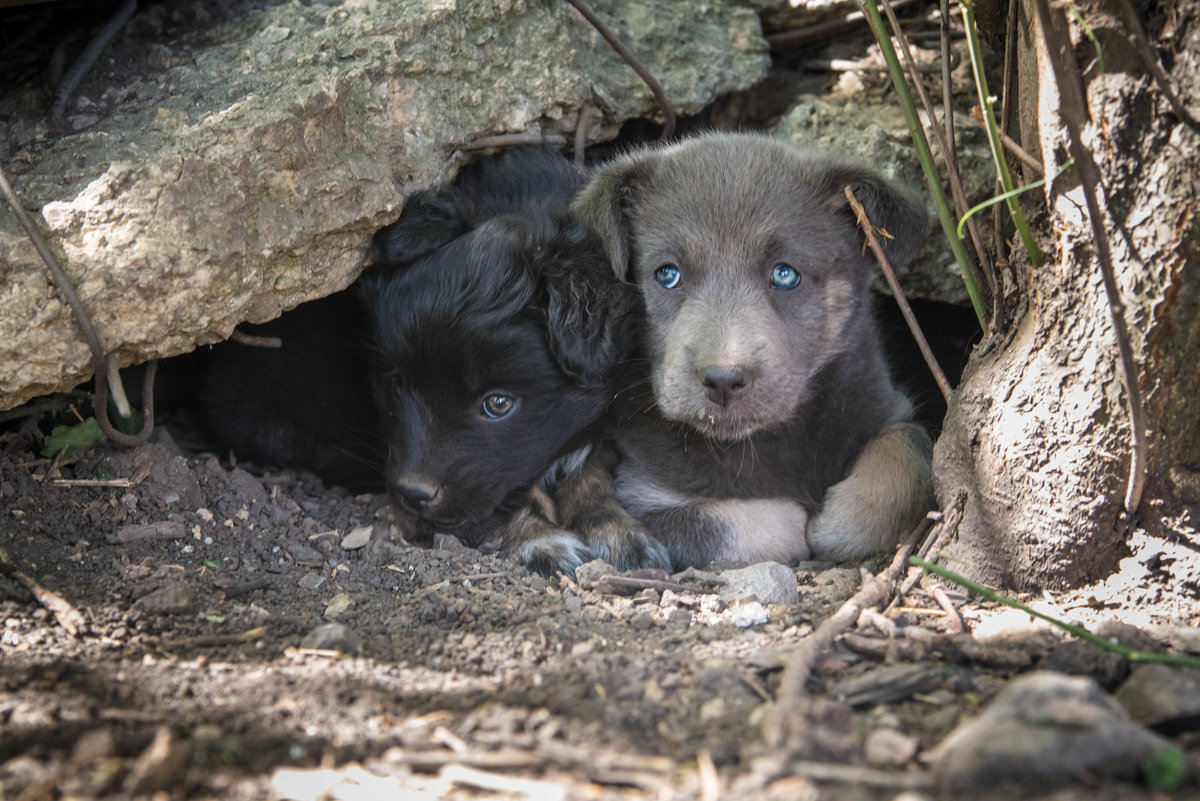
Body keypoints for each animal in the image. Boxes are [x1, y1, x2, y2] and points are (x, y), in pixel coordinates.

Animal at [199, 149, 667, 573]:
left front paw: (619, 530)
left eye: (498, 404)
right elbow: (503, 498)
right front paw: (541, 541)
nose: (413, 494)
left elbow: (589, 471)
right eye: (396, 383)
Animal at [571, 133, 936, 568]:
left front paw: (843, 519)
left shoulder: (888, 408)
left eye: (784, 274)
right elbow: (734, 525)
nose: (723, 380)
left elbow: (911, 450)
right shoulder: (641, 494)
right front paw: (796, 519)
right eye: (667, 274)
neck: (758, 443)